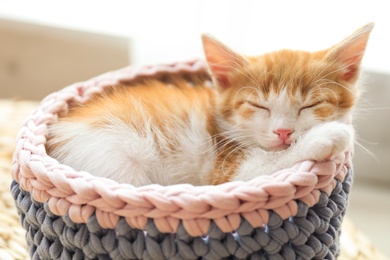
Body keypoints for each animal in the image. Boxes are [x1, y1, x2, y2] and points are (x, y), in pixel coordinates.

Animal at [47, 23, 374, 186]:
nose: (283, 132)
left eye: (311, 104)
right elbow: (266, 164)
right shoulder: (227, 173)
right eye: (258, 106)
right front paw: (328, 136)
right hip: (115, 158)